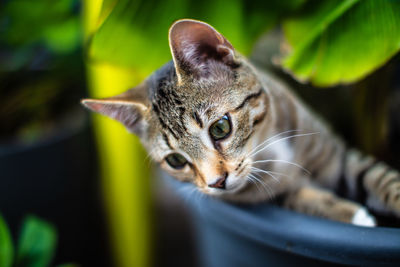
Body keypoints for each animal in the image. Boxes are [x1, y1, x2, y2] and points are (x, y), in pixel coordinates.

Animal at [82, 19, 400, 228]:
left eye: (220, 128)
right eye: (175, 161)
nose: (216, 183)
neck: (268, 147)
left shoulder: (337, 156)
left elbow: (381, 178)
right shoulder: (269, 196)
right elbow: (298, 197)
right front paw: (352, 214)